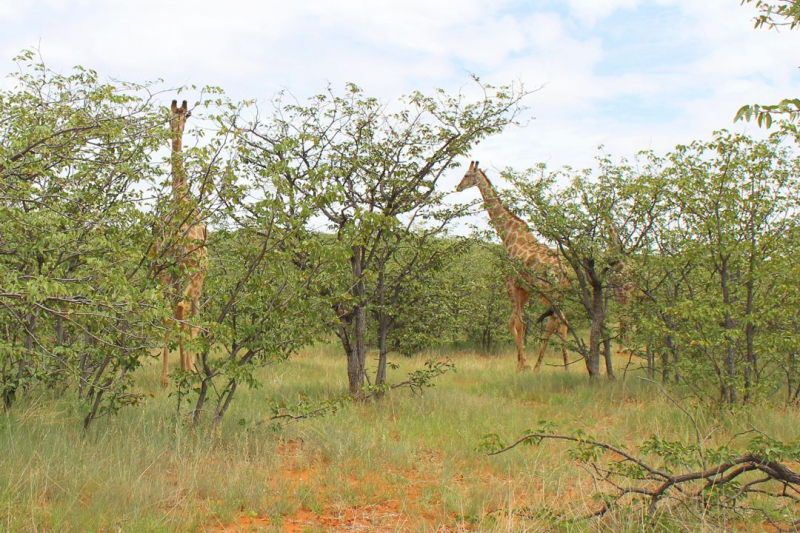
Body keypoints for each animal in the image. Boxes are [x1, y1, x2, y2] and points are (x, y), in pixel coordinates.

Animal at [456, 160, 568, 372]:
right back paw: (565, 366)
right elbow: (515, 322)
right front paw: (520, 362)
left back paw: (539, 366)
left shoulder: (511, 283)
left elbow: (517, 322)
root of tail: (564, 272)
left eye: (466, 175)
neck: (508, 236)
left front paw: (523, 364)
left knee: (554, 322)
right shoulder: (524, 289)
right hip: (556, 294)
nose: (457, 187)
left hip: (547, 291)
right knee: (562, 322)